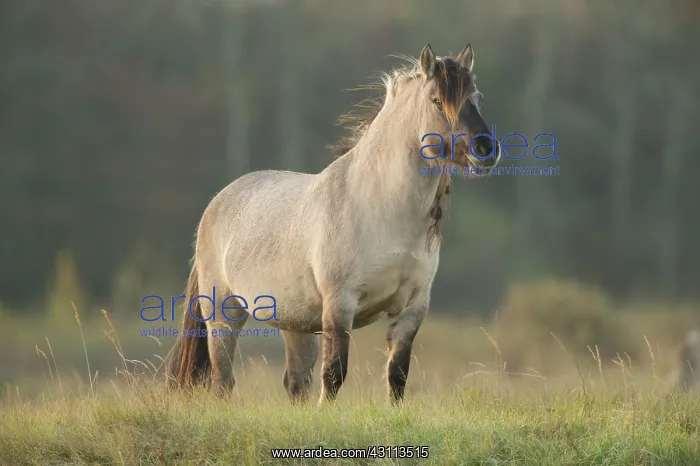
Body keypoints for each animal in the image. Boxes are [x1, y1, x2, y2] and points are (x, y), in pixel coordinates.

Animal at [166, 44, 501, 404]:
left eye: (478, 98)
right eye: (437, 101)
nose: (486, 149)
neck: (381, 209)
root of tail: (218, 202)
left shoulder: (411, 309)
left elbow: (397, 377)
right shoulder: (340, 305)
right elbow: (334, 374)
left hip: (296, 323)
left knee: (296, 382)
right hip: (223, 316)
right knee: (223, 381)